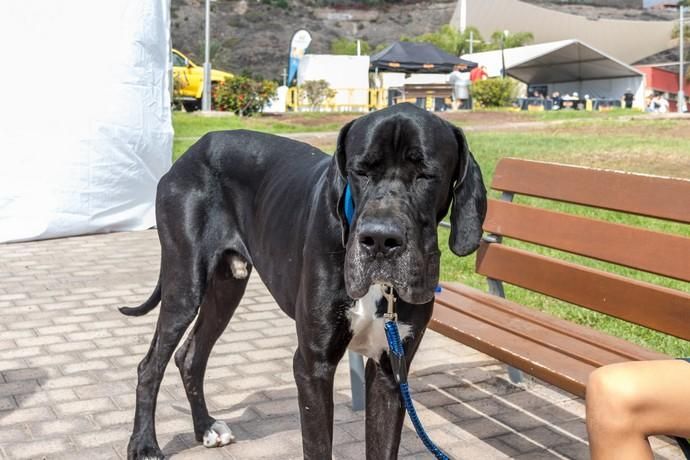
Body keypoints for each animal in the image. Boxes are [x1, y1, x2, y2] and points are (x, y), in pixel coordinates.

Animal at [119, 102, 484, 458]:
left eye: (427, 175)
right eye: (360, 171)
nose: (380, 239)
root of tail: (191, 151)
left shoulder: (390, 372)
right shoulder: (312, 364)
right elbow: (318, 446)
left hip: (226, 288)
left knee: (190, 356)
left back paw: (205, 427)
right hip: (185, 282)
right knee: (150, 365)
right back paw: (144, 445)